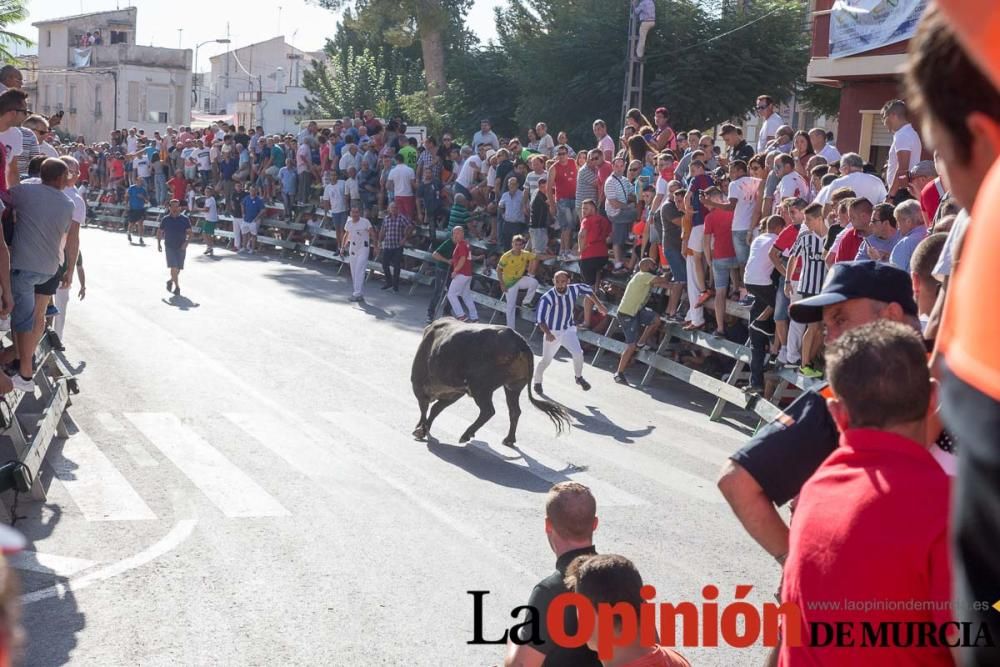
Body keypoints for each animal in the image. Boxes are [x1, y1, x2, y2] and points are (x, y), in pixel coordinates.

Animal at [408, 320, 572, 446]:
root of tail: (520, 342)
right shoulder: (454, 393)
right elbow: (435, 409)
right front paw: (423, 429)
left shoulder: (420, 385)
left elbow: (425, 408)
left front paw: (420, 430)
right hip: (512, 387)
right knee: (514, 411)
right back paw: (509, 439)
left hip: (481, 388)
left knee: (488, 411)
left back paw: (466, 435)